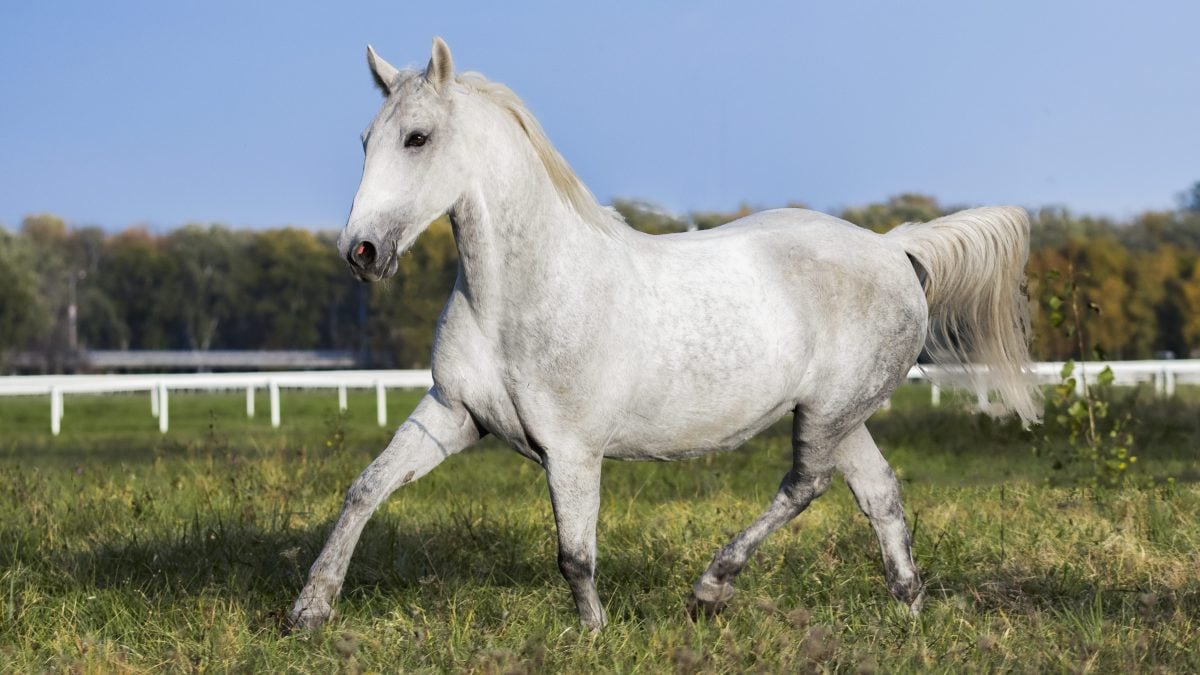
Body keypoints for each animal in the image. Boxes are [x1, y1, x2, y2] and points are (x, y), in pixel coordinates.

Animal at [289, 37, 1040, 631]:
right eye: (366, 140)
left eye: (417, 137)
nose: (361, 252)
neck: (519, 299)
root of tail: (893, 247)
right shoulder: (451, 414)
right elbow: (365, 489)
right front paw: (309, 610)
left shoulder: (572, 450)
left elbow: (574, 552)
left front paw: (593, 633)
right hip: (841, 416)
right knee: (876, 492)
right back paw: (908, 606)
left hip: (828, 413)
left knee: (806, 483)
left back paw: (711, 588)